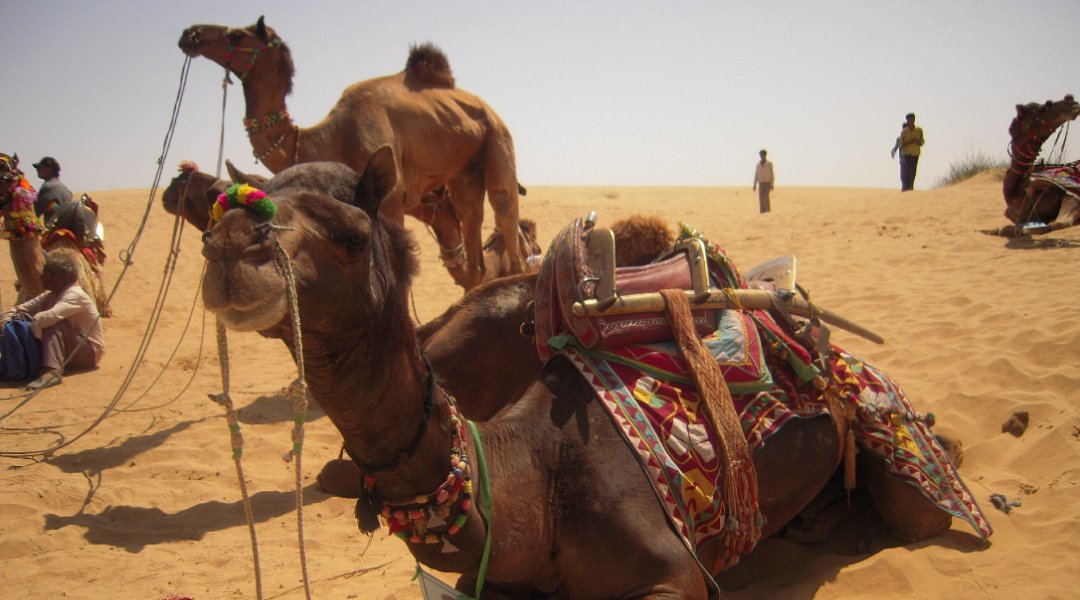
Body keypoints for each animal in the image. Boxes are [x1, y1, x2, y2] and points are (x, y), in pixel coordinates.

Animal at [179, 16, 524, 289]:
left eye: (238, 35)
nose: (190, 34)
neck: (325, 138)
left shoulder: (392, 200)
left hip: (498, 139)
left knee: (505, 213)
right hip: (465, 171)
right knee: (473, 229)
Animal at [196, 150, 989, 595]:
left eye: (351, 234)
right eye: (213, 216)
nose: (231, 247)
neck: (529, 479)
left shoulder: (673, 575)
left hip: (888, 435)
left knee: (920, 494)